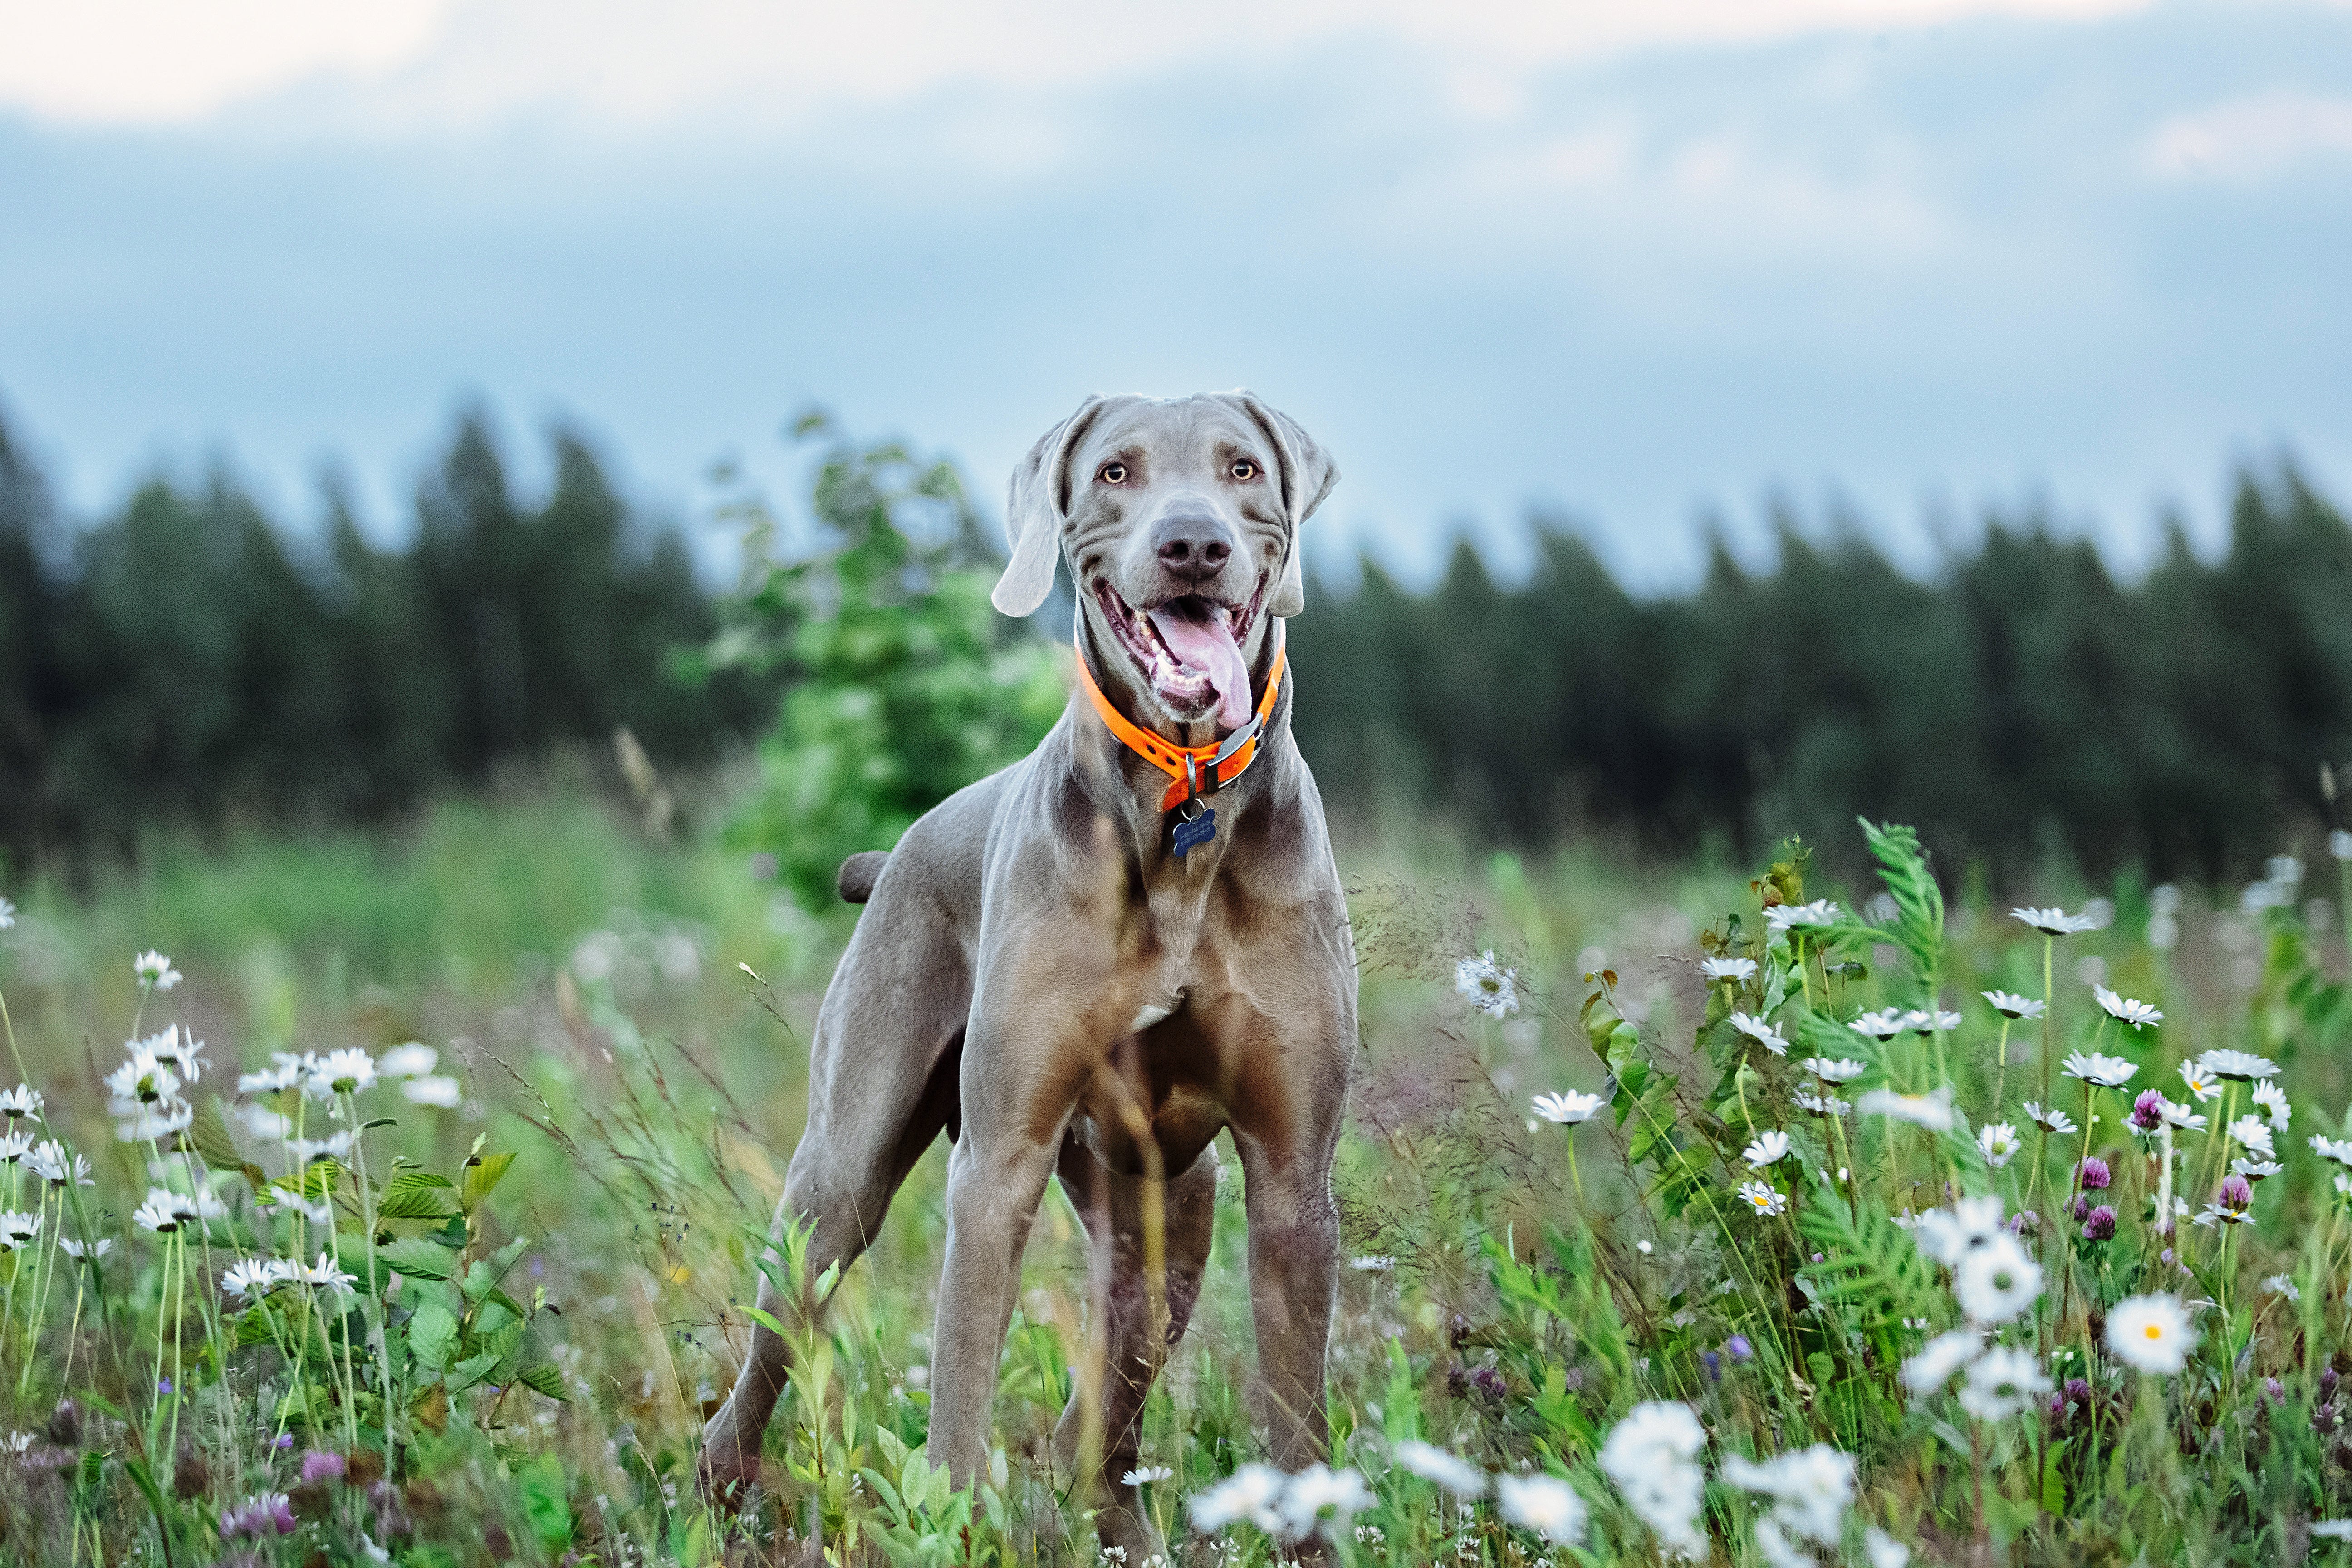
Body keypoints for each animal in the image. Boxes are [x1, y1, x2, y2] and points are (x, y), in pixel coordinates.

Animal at [696, 390, 1364, 1561]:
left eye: (1241, 469)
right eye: (1114, 473)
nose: (1193, 544)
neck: (1181, 811)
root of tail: (897, 849)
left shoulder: (1291, 1180)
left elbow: (1295, 1421)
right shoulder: (998, 1161)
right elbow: (961, 1389)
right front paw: (954, 1518)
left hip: (1167, 1209)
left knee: (1102, 1405)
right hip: (841, 1175)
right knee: (773, 1348)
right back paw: (721, 1498)